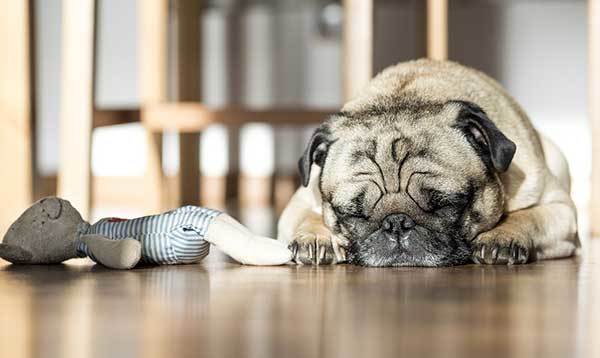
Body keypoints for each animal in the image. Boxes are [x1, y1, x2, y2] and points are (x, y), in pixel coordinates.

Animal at [278, 59, 580, 266]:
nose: (396, 223)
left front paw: (503, 235)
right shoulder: (300, 202)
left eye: (446, 204)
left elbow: (529, 216)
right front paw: (316, 237)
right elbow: (307, 217)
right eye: (352, 213)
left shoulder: (561, 210)